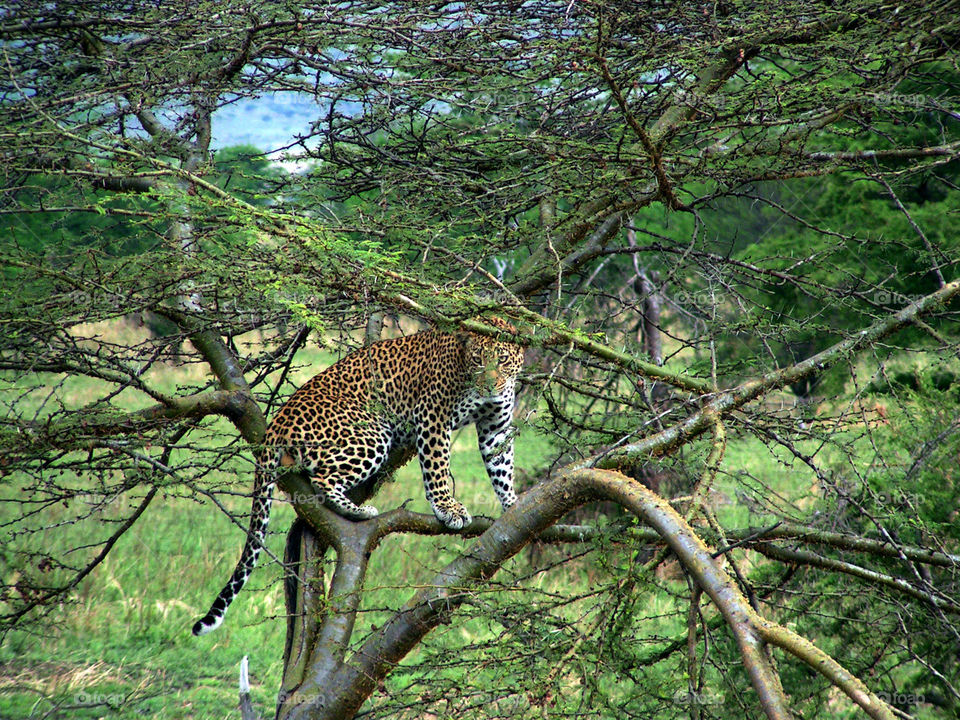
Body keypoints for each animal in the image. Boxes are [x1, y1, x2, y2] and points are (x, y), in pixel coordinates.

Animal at [191, 318, 520, 632]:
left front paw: (514, 505)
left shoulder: (496, 428)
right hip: (371, 432)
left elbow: (502, 467)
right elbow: (437, 465)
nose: (491, 386)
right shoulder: (432, 415)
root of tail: (278, 420)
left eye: (502, 359)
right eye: (478, 359)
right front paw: (448, 508)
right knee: (323, 480)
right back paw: (359, 511)